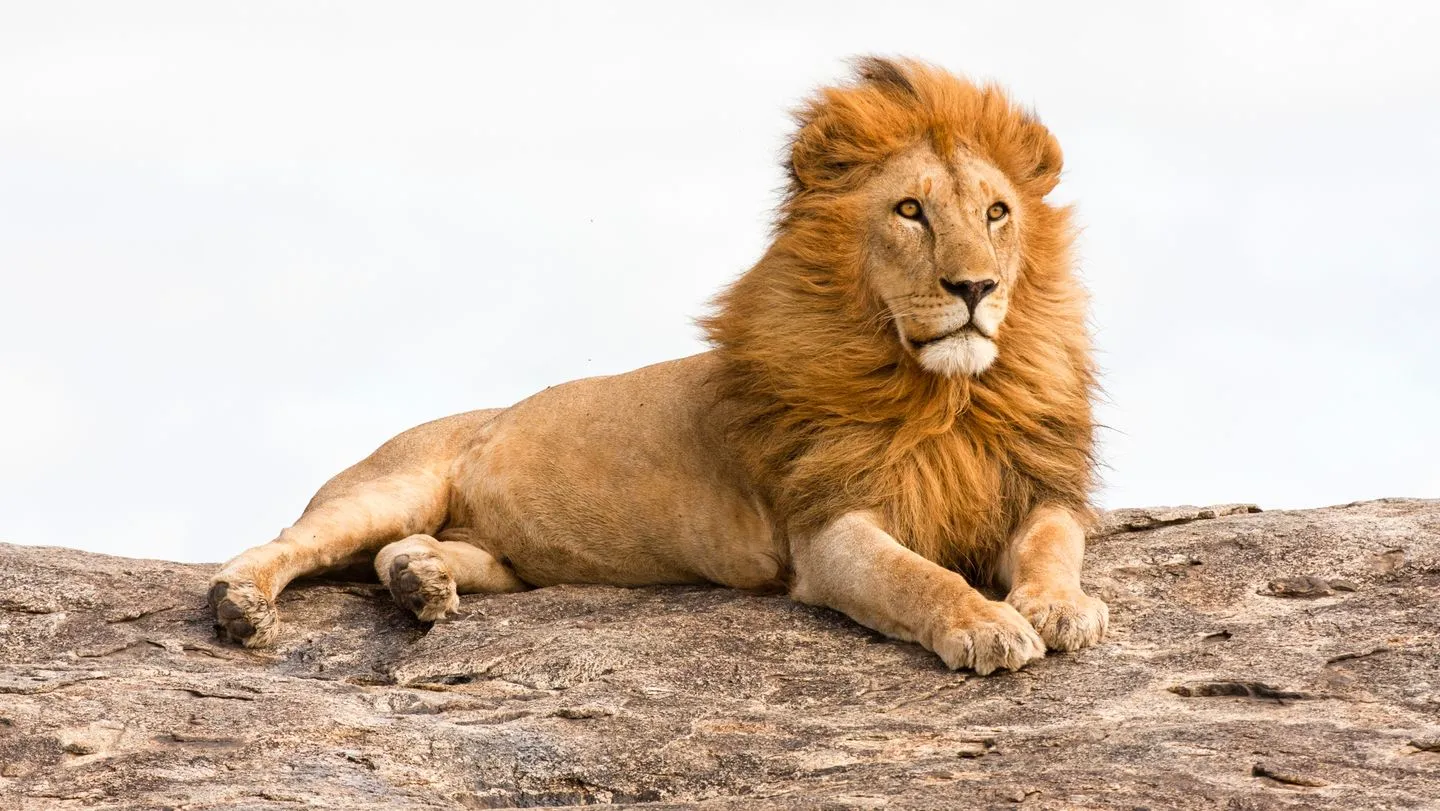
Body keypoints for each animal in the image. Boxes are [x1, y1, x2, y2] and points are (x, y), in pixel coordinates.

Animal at [209, 57, 1105, 675]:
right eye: (910, 211)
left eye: (996, 213)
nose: (976, 287)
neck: (946, 396)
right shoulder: (829, 528)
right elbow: (918, 577)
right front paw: (986, 623)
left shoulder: (1032, 486)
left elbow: (1056, 544)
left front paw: (1062, 607)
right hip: (391, 482)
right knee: (287, 540)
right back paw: (240, 603)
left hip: (502, 560)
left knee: (408, 549)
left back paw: (419, 582)